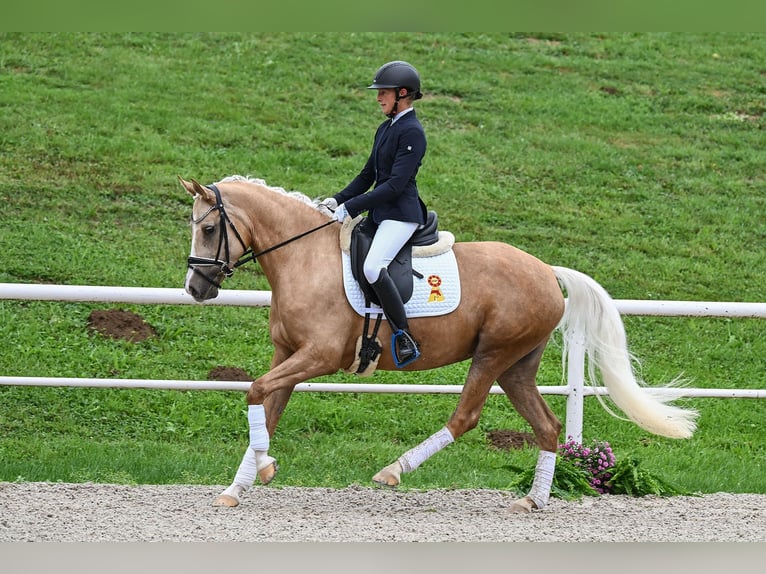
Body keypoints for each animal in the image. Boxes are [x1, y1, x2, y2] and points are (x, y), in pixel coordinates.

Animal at [182, 174, 704, 512]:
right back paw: (532, 500)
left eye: (208, 229)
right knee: (548, 425)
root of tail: (546, 270)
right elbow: (265, 405)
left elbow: (255, 391)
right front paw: (241, 485)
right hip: (516, 366)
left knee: (466, 417)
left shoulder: (318, 357)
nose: (195, 288)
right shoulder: (288, 355)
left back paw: (394, 471)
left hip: (493, 355)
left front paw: (264, 470)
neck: (304, 258)